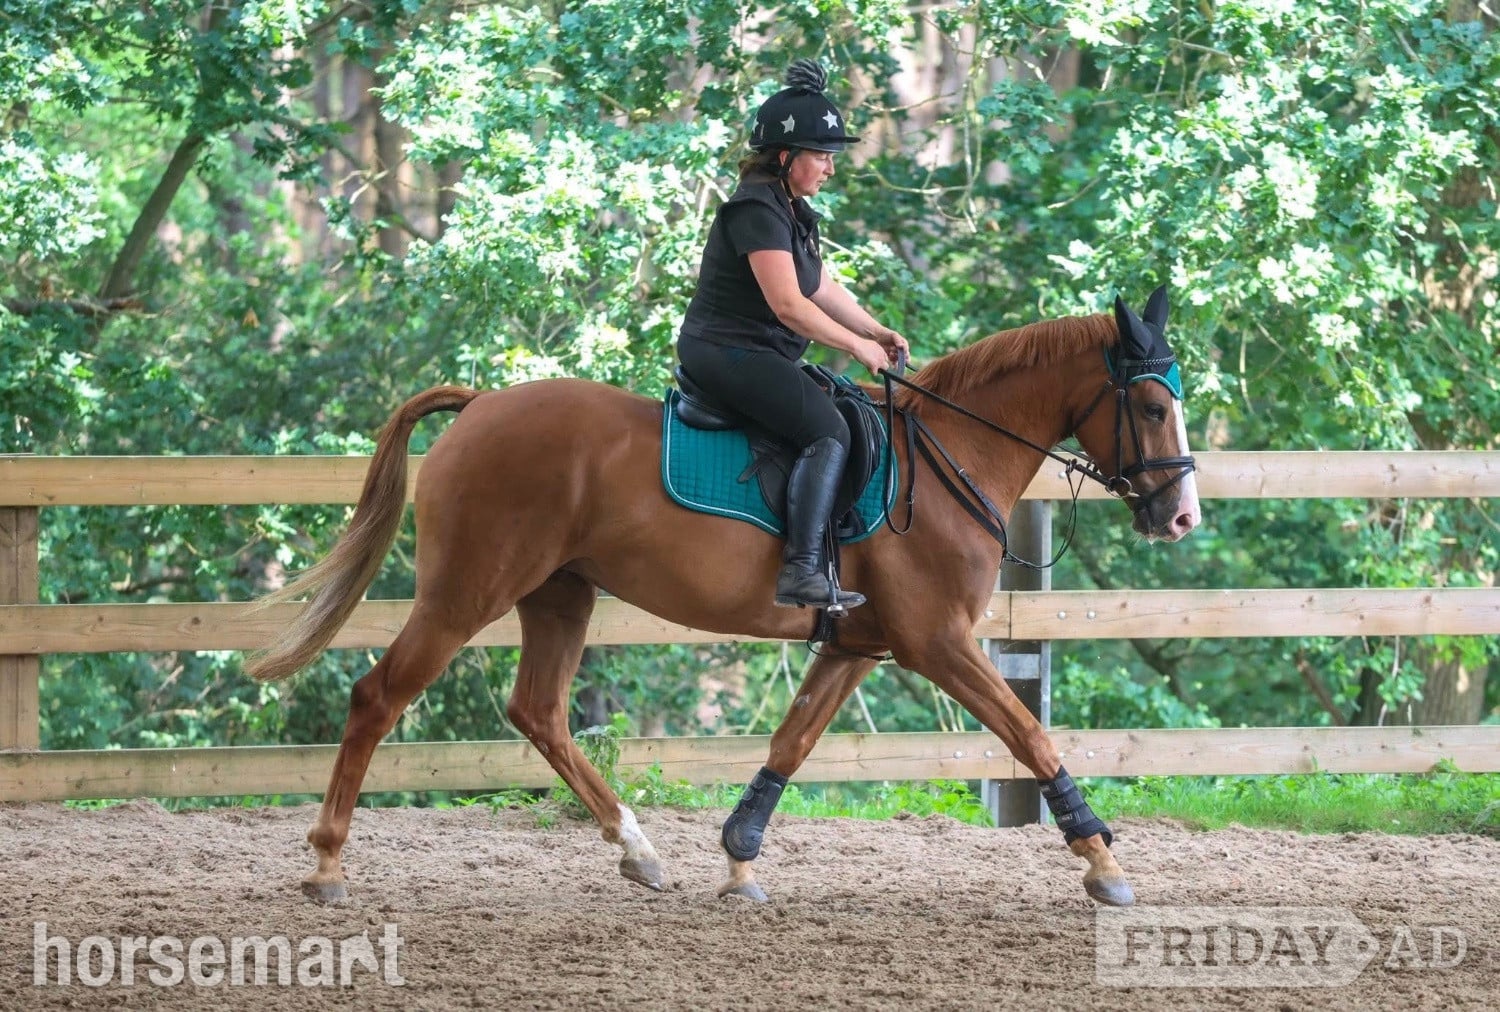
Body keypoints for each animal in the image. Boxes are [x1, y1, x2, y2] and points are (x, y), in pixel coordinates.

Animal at [246, 287, 1200, 908]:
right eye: (1154, 406)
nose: (1182, 515)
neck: (947, 457)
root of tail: (480, 405)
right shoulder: (939, 643)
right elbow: (1029, 734)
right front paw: (1102, 861)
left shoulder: (857, 646)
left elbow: (791, 743)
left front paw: (740, 862)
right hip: (466, 593)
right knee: (377, 697)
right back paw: (327, 866)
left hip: (558, 596)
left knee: (539, 713)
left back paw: (637, 850)